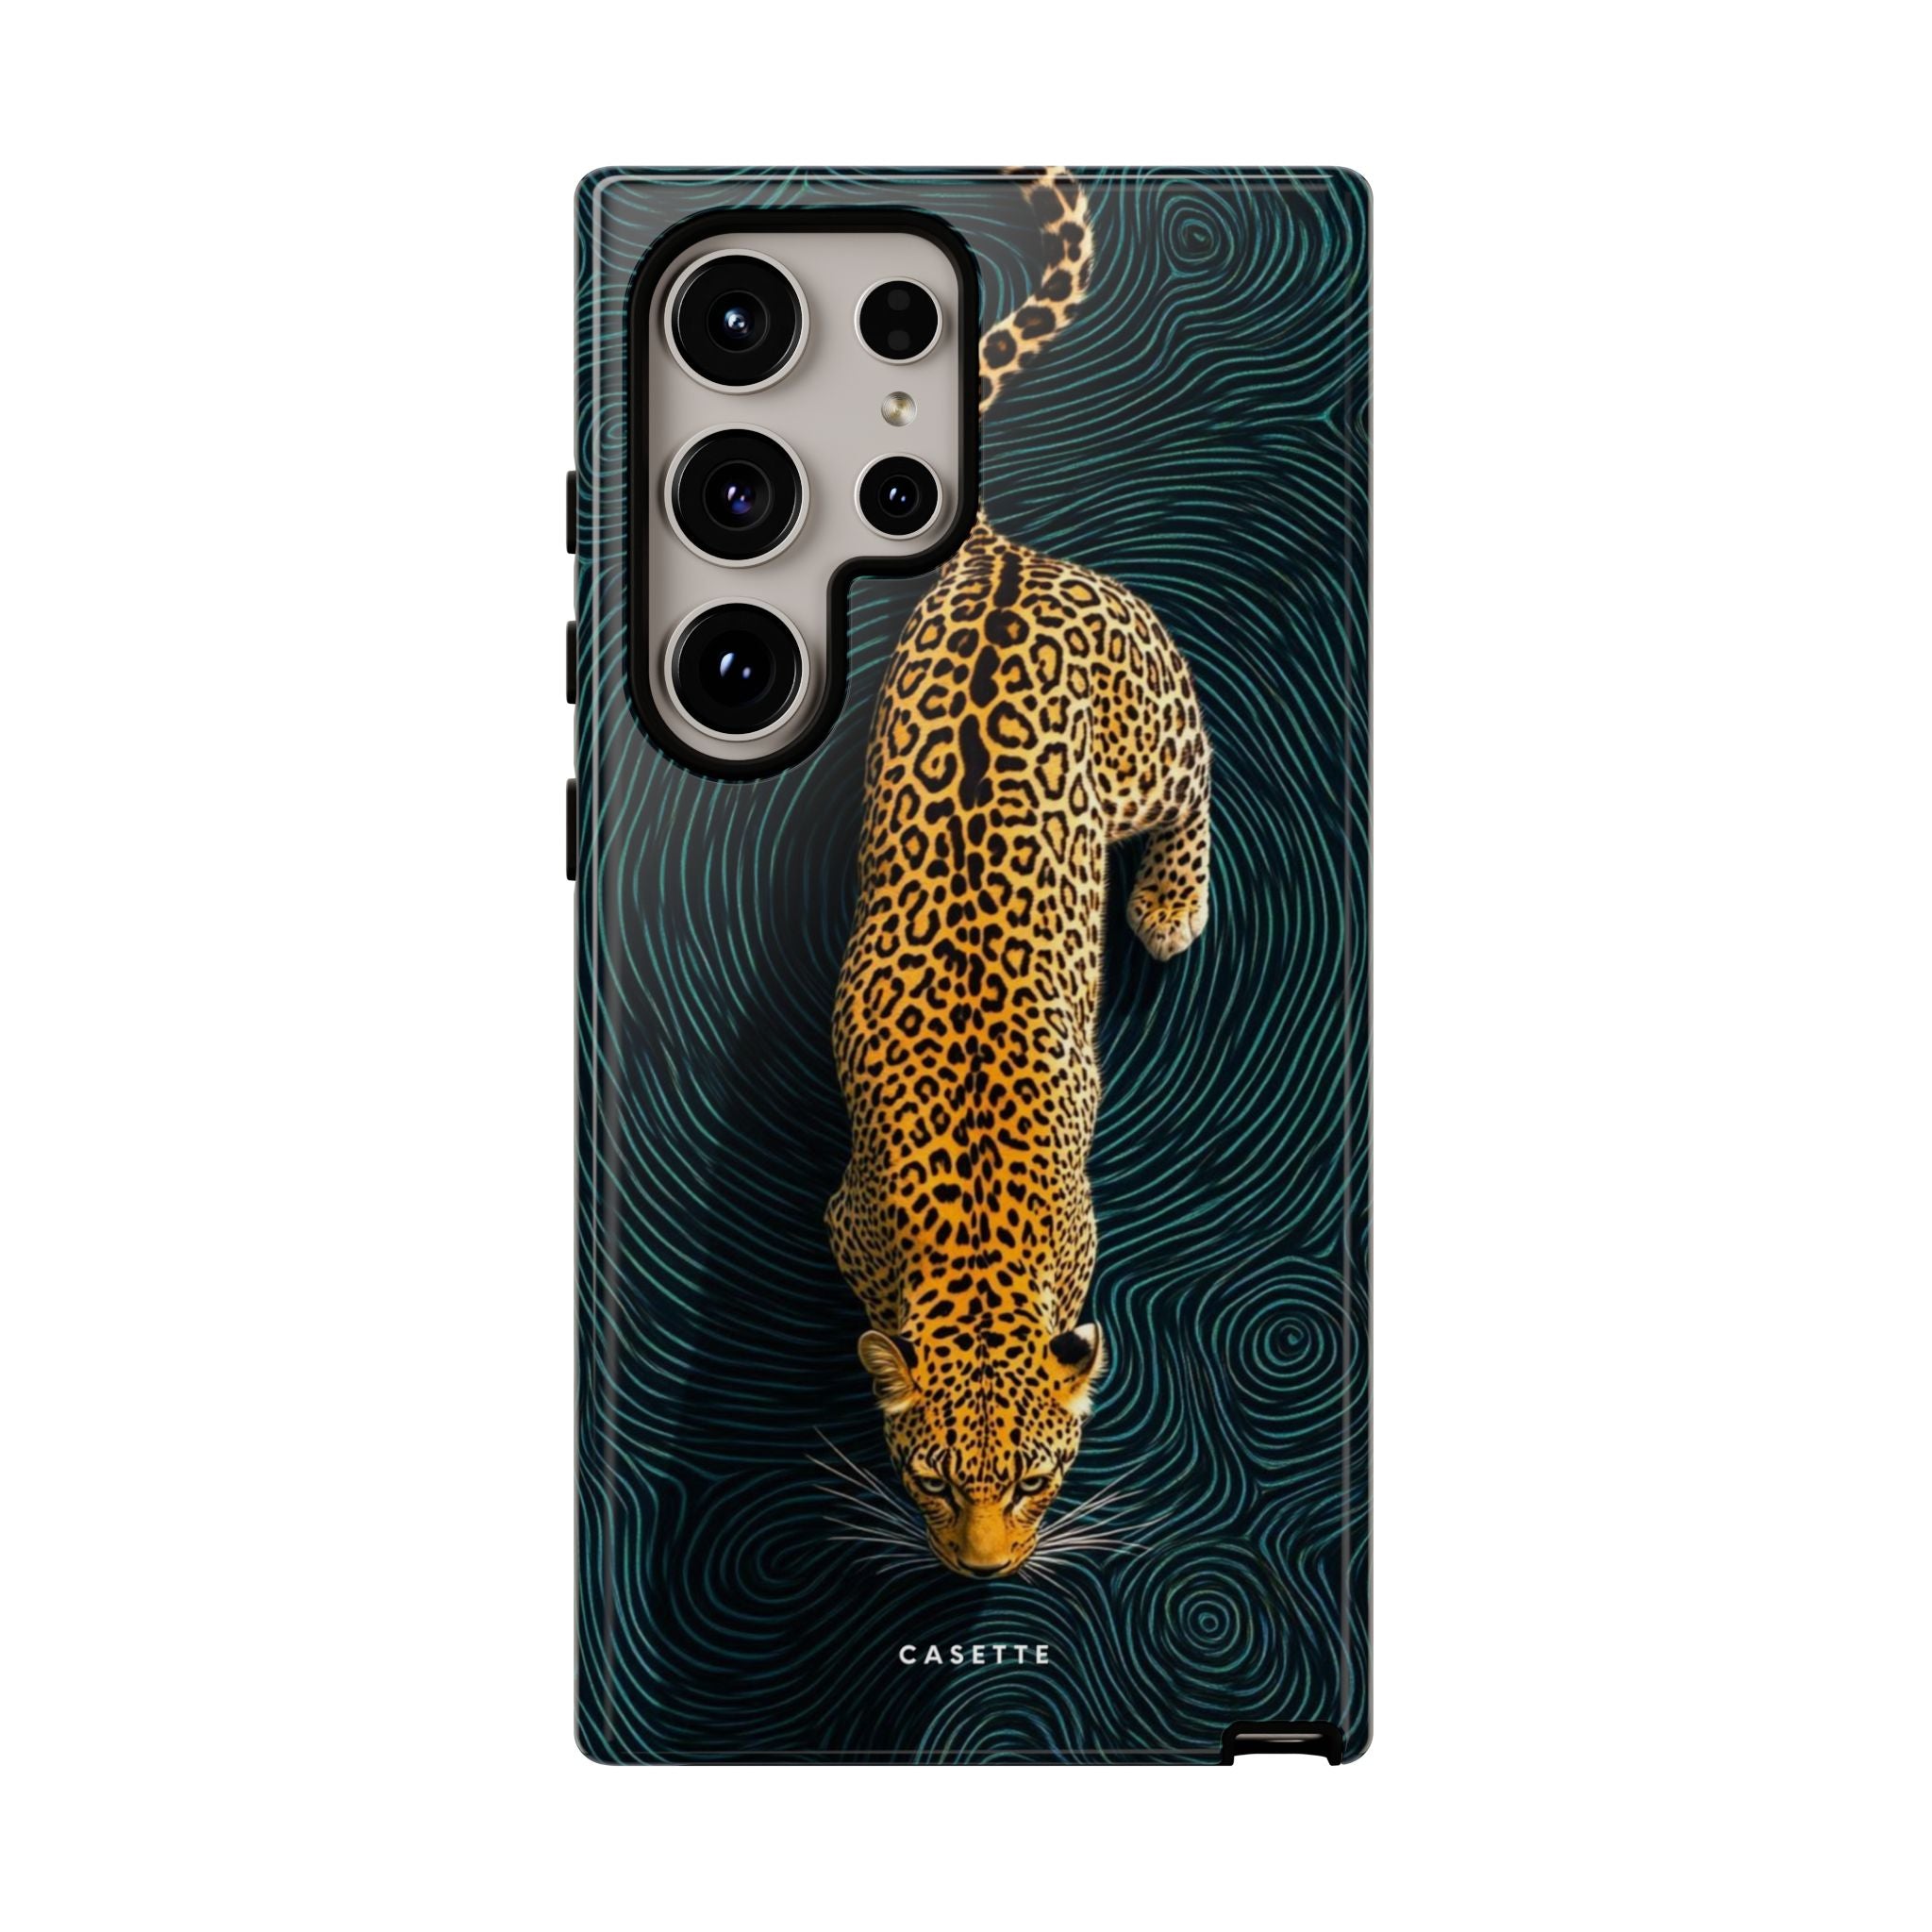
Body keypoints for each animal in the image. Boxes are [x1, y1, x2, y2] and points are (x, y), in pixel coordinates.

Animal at [826, 169, 1213, 1579]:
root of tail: (998, 556)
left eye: (1039, 1478)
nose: (984, 1572)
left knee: (1200, 760)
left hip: (1145, 744)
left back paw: (1169, 907)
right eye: (929, 1479)